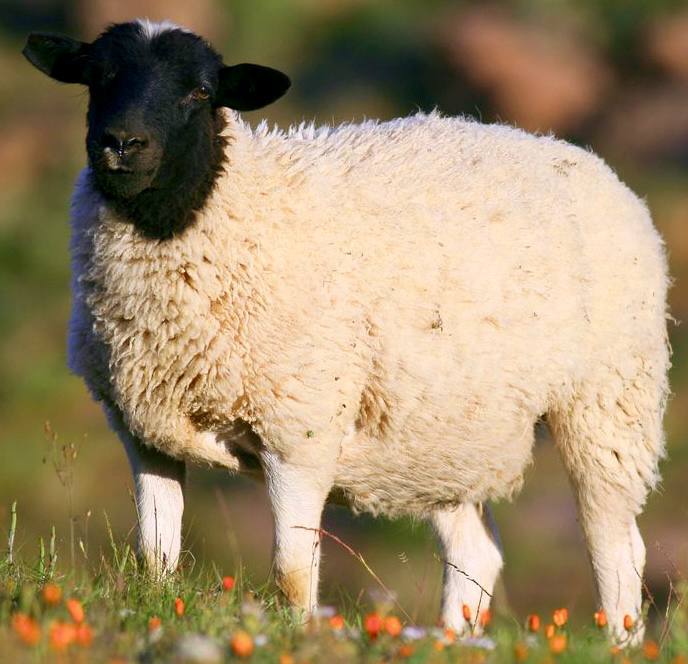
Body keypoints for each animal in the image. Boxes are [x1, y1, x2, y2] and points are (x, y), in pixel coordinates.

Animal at [23, 19, 670, 644]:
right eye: (97, 78)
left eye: (201, 92)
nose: (122, 143)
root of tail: (591, 164)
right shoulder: (145, 432)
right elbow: (155, 557)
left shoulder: (299, 430)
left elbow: (290, 572)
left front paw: (299, 636)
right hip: (441, 433)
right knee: (475, 551)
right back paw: (452, 641)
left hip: (610, 403)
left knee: (616, 550)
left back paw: (620, 641)